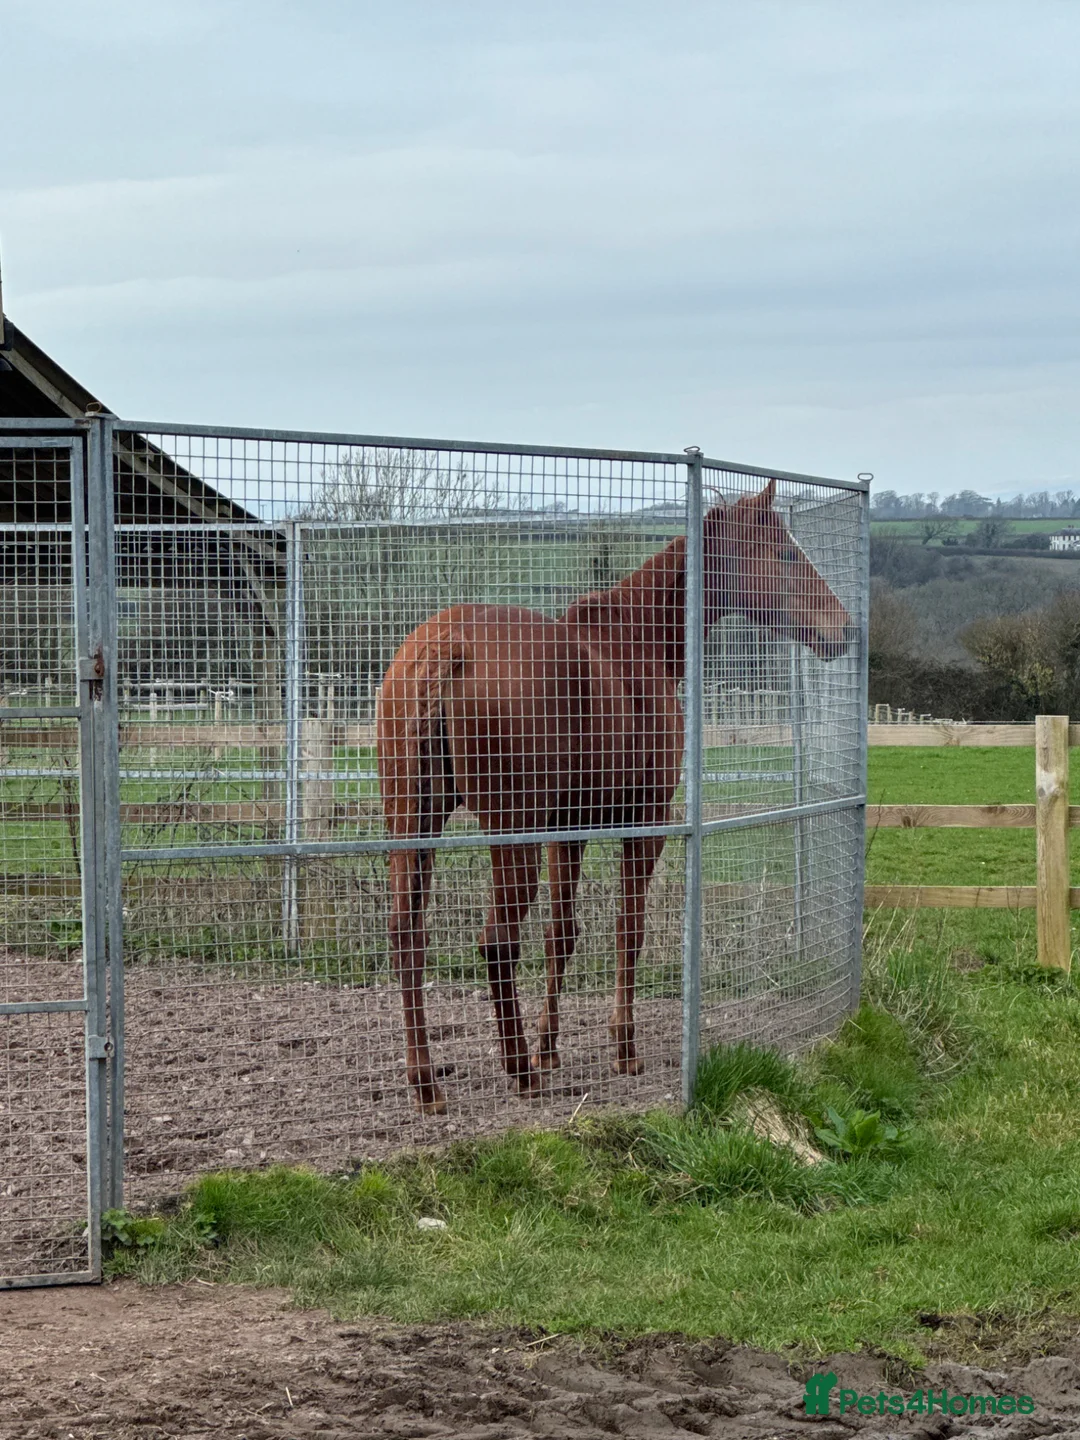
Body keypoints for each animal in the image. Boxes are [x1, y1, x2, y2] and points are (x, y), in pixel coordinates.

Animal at [376, 478, 854, 1114]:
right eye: (786, 555)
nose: (845, 628)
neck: (637, 643)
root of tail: (445, 645)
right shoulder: (644, 824)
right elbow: (629, 931)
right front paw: (621, 1049)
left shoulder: (569, 831)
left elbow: (562, 935)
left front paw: (551, 1050)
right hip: (510, 833)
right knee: (496, 942)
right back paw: (517, 1071)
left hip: (414, 824)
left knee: (407, 935)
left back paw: (427, 1079)